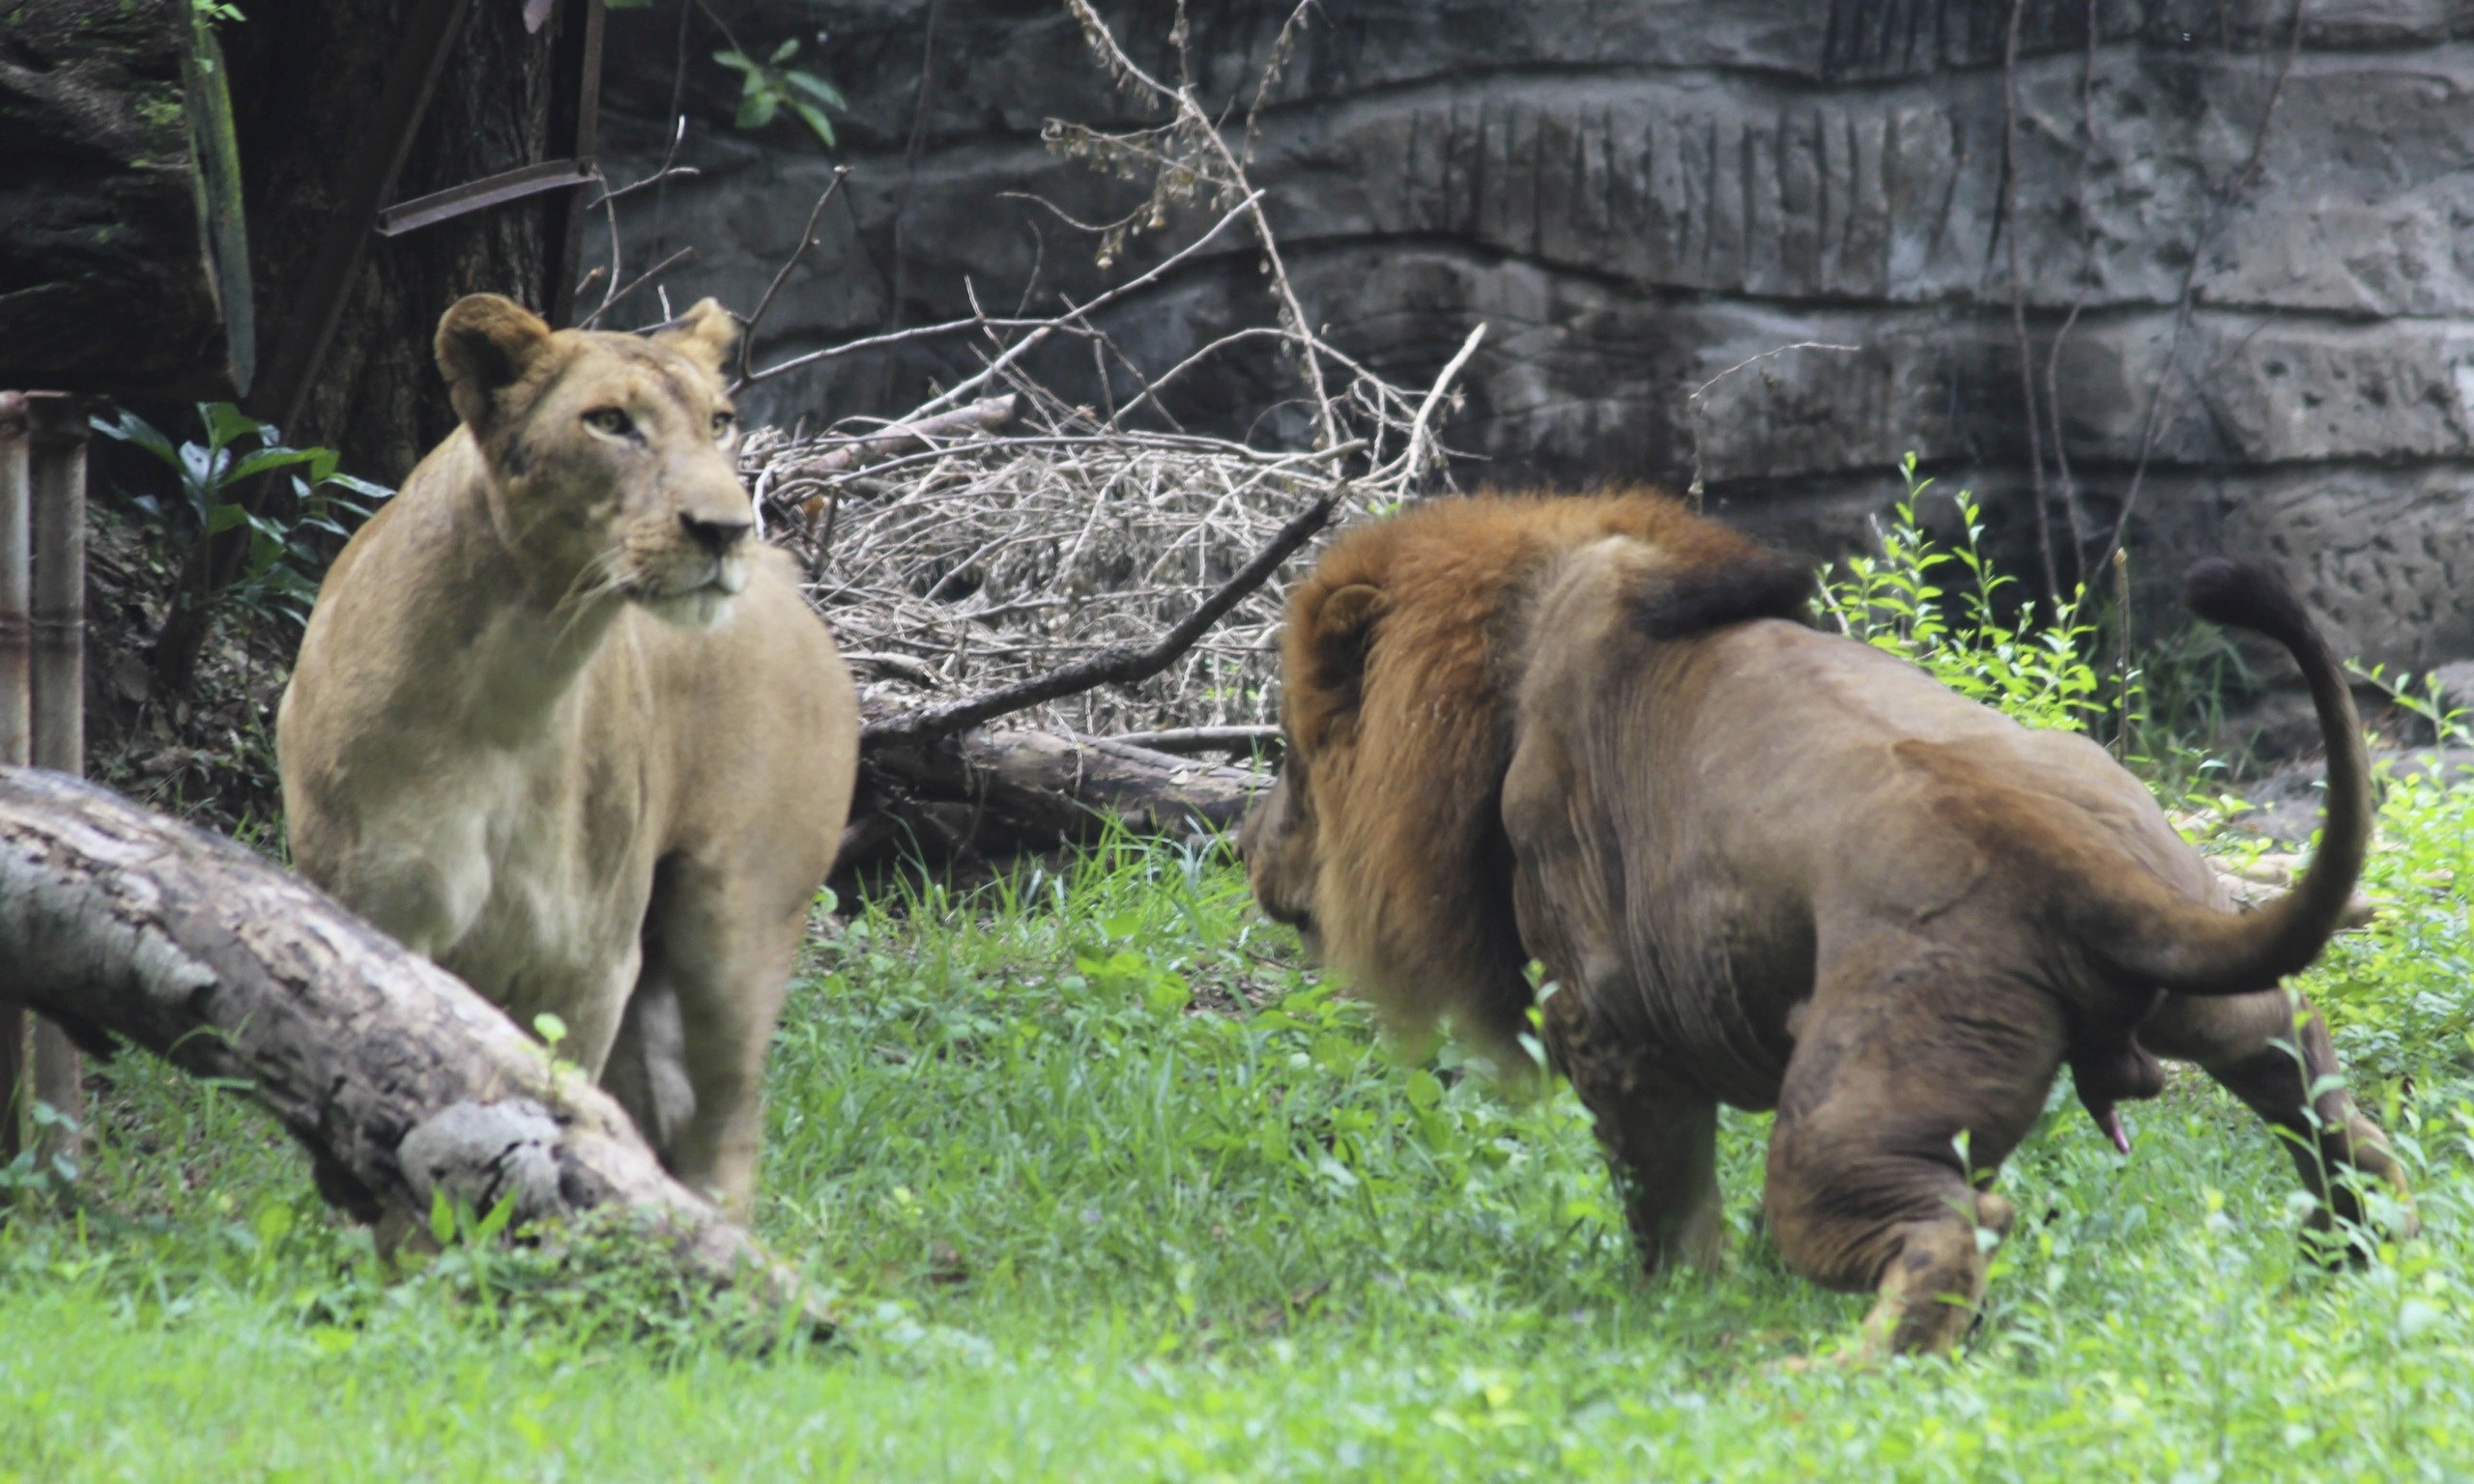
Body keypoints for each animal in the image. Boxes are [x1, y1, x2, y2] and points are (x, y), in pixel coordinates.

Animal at [276, 293, 860, 1216]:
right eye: (610, 422)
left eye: (720, 421)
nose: (726, 529)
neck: (516, 678)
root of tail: (785, 572)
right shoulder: (380, 919)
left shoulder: (586, 967)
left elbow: (550, 1121)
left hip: (735, 927)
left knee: (723, 1129)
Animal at [1247, 489, 2404, 1355]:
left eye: (1293, 760)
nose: (1251, 856)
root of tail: (2049, 847)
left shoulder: (1605, 1025)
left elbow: (1664, 1202)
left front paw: (1672, 1312)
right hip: (2202, 989)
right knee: (2313, 1082)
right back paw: (2366, 1248)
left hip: (1846, 1108)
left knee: (1958, 1226)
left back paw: (1831, 1373)